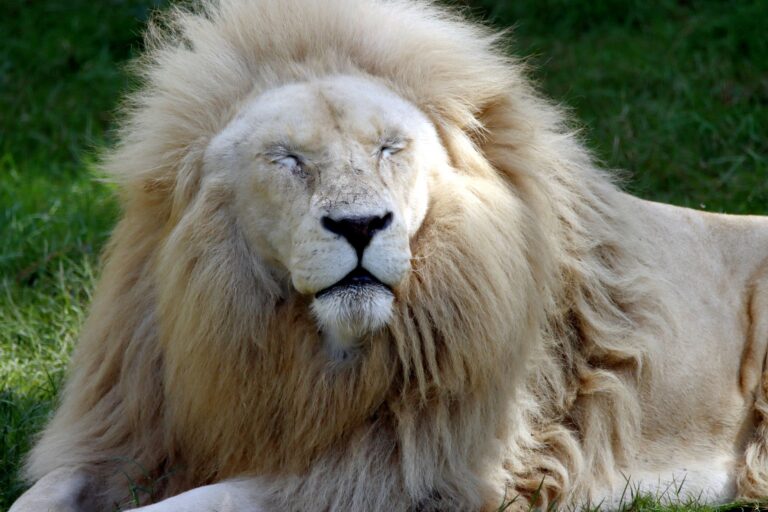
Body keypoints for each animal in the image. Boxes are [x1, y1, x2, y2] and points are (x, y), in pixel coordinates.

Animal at [10, 0, 768, 511]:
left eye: (388, 148)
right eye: (287, 159)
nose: (360, 225)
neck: (296, 352)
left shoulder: (404, 473)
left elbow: (196, 503)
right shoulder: (132, 426)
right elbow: (45, 490)